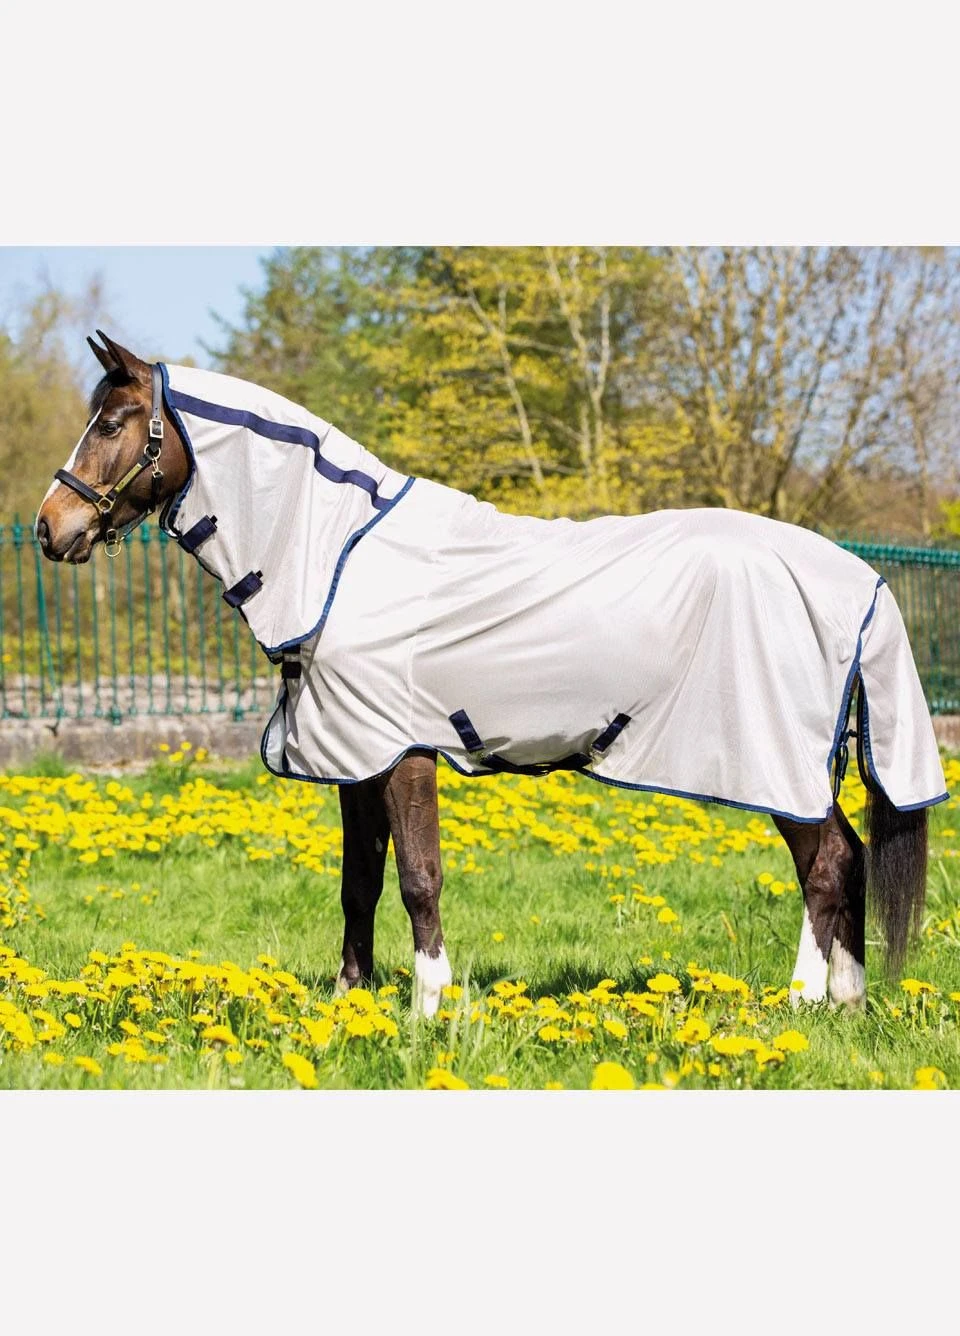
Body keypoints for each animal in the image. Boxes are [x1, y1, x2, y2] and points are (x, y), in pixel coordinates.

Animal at [36, 332, 947, 1017]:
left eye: (114, 421)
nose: (51, 527)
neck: (340, 557)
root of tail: (855, 577)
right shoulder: (354, 757)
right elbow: (359, 884)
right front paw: (353, 1003)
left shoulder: (400, 751)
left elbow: (418, 879)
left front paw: (429, 1007)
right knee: (848, 859)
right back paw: (845, 1003)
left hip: (777, 761)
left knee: (824, 866)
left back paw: (800, 1002)